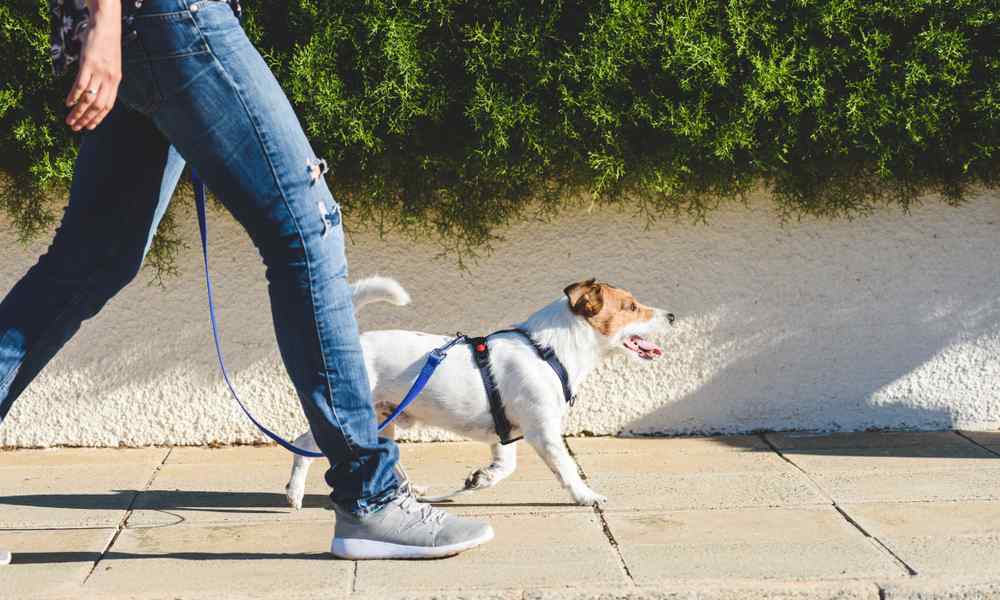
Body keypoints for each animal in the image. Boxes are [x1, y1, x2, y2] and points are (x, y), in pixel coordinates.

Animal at [284, 276, 672, 506]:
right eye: (631, 307)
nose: (671, 316)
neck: (548, 350)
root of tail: (354, 345)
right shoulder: (543, 431)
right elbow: (566, 468)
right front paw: (585, 495)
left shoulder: (506, 433)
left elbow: (505, 466)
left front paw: (480, 479)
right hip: (351, 417)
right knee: (304, 444)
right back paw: (295, 493)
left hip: (384, 419)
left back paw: (412, 491)